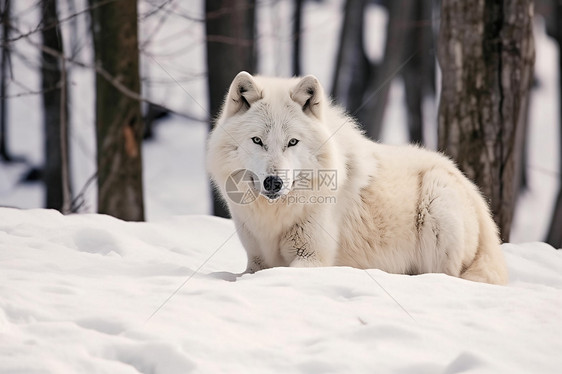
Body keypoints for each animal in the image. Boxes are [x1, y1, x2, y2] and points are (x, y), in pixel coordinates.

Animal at [206, 71, 508, 284]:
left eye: (292, 142)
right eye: (257, 140)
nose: (274, 182)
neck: (274, 216)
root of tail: (477, 195)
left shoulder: (313, 258)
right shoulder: (256, 260)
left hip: (437, 202)